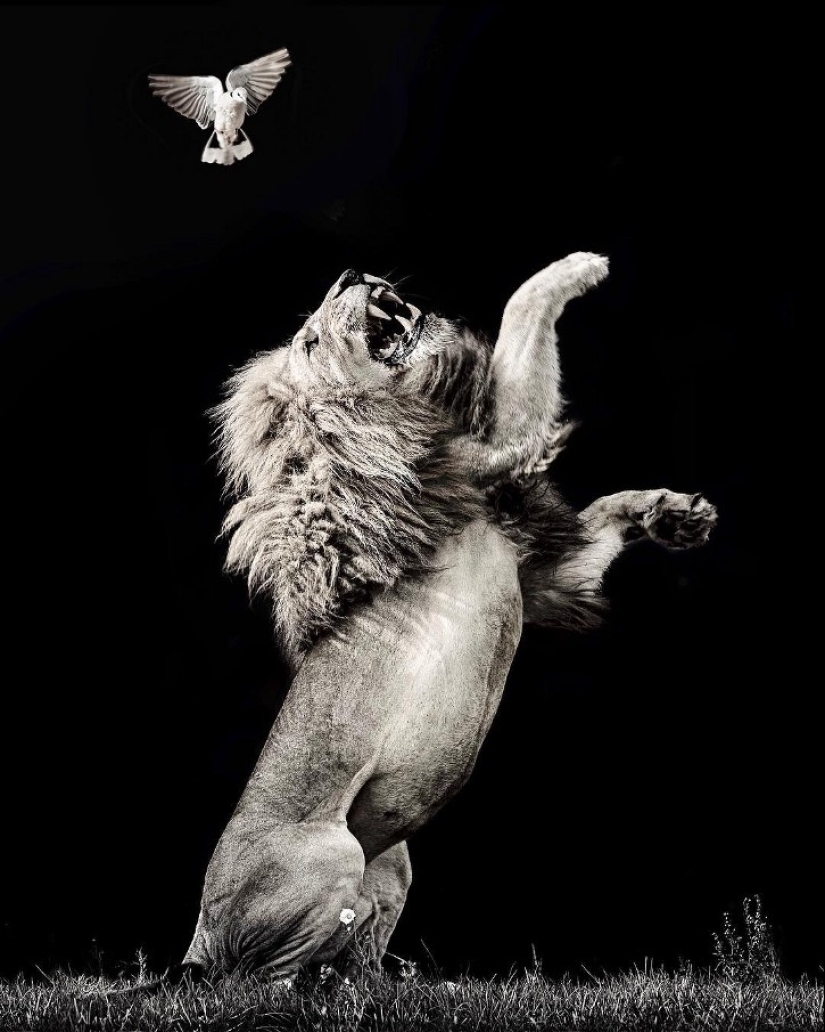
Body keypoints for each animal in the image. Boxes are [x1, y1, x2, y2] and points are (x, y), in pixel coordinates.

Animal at [181, 253, 717, 979]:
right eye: (311, 342)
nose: (349, 274)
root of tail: (201, 931)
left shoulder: (552, 566)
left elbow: (609, 511)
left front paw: (677, 516)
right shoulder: (491, 444)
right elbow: (521, 309)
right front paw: (579, 267)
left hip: (393, 863)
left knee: (346, 948)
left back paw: (376, 986)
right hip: (330, 855)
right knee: (252, 979)